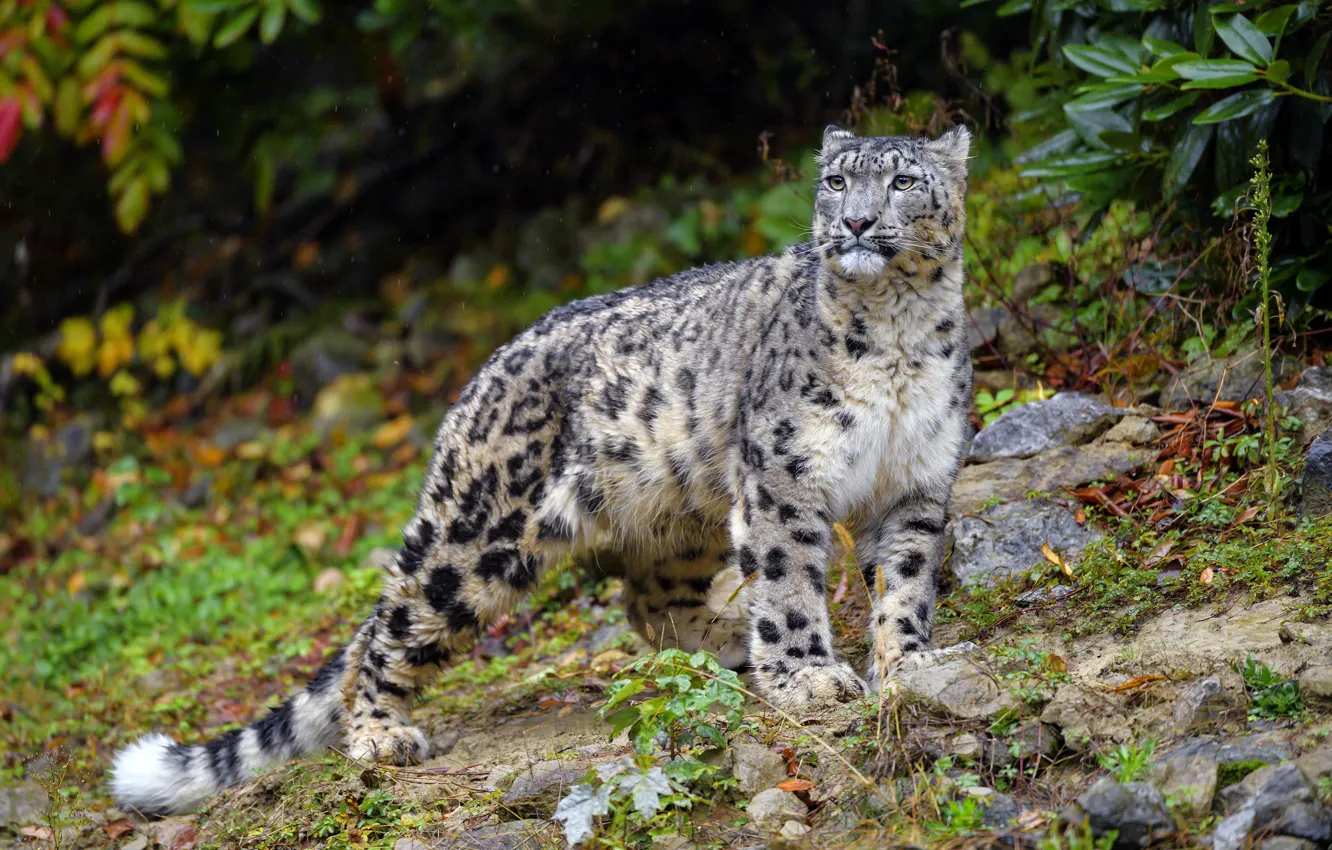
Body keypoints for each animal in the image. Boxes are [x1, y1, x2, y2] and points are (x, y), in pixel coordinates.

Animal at [111, 123, 973, 815]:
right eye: (837, 181)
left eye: (902, 181)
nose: (857, 220)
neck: (896, 334)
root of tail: (477, 379)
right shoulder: (785, 474)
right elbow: (790, 581)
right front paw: (808, 679)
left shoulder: (919, 478)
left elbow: (905, 577)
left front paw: (910, 661)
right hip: (478, 538)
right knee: (390, 629)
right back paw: (382, 735)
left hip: (680, 511)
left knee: (646, 599)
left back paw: (727, 639)